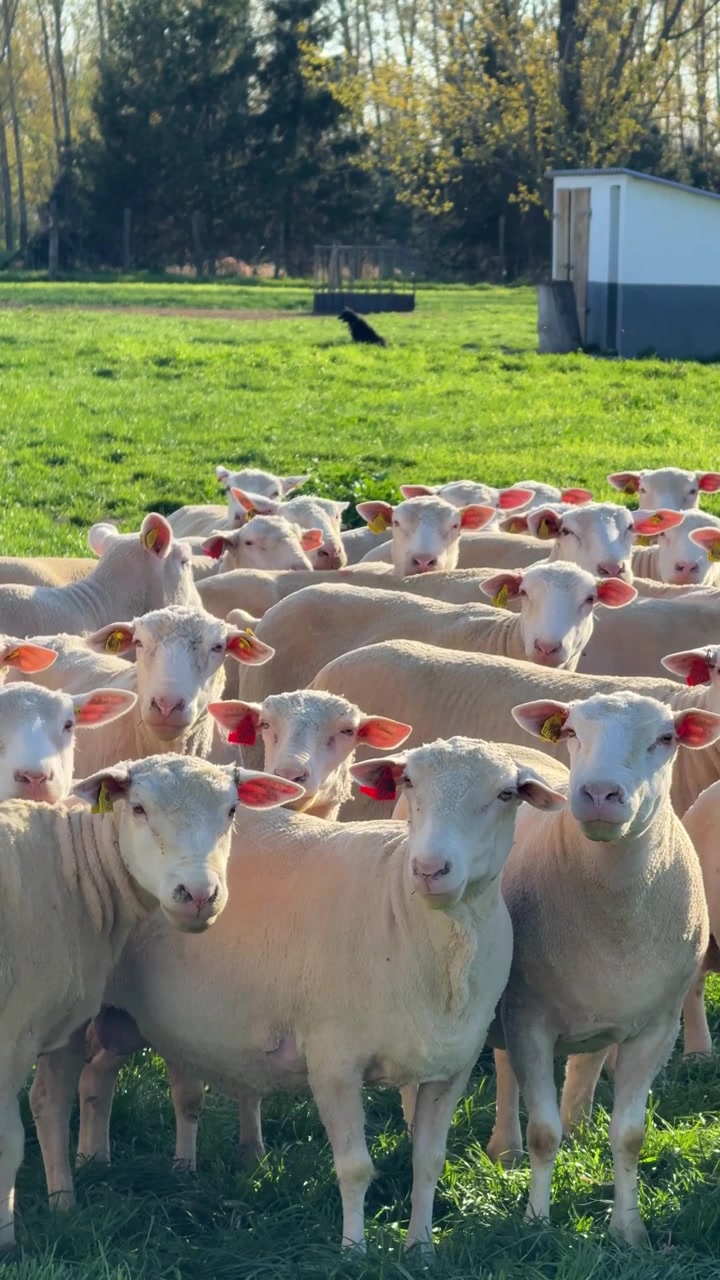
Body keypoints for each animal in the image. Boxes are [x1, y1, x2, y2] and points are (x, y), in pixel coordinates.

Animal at [0, 753, 305, 1250]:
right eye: (139, 808)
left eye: (232, 811)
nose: (198, 894)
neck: (68, 866)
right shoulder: (9, 1036)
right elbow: (8, 1140)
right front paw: (7, 1243)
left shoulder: (61, 1022)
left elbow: (51, 1107)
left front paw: (64, 1206)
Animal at [71, 737, 564, 1253]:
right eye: (408, 782)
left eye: (506, 795)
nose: (430, 869)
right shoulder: (333, 1061)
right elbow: (355, 1168)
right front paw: (353, 1251)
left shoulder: (451, 1068)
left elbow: (428, 1162)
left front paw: (421, 1248)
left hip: (131, 1017)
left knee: (97, 1074)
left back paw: (97, 1160)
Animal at [485, 691, 714, 1245]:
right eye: (571, 732)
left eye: (666, 738)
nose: (599, 792)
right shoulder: (528, 1019)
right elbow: (542, 1132)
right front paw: (536, 1222)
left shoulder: (656, 1028)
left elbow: (630, 1136)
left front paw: (628, 1230)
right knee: (505, 1069)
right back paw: (506, 1148)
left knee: (586, 1060)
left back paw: (581, 1124)